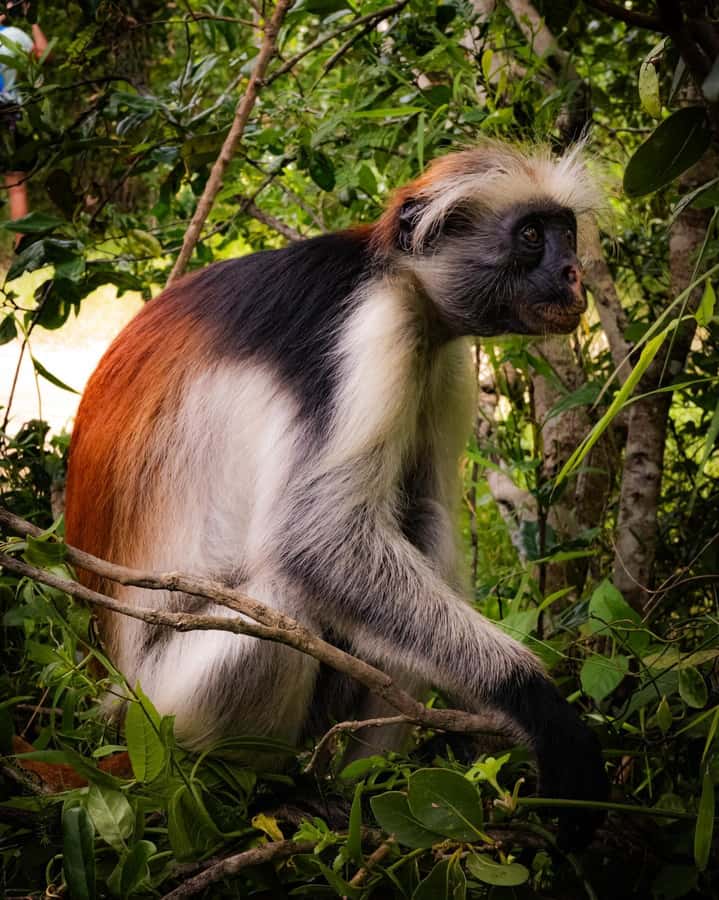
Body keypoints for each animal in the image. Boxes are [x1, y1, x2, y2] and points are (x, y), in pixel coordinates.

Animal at [64, 141, 608, 849]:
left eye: (565, 232)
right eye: (531, 236)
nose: (573, 274)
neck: (396, 274)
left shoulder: (434, 355)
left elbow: (418, 507)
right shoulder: (366, 328)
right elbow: (316, 543)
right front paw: (538, 708)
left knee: (421, 523)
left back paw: (355, 791)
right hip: (160, 712)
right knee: (281, 602)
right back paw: (259, 793)